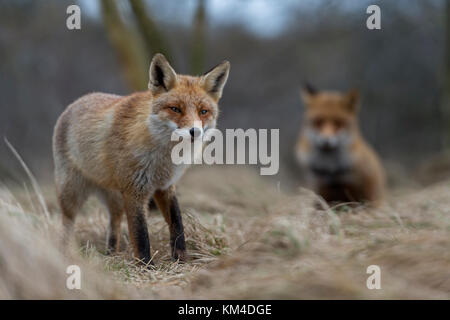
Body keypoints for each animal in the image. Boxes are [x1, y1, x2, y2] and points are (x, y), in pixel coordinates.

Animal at [51, 53, 232, 264]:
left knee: (114, 221)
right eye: (175, 109)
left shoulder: (165, 186)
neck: (162, 159)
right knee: (67, 222)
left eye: (203, 111)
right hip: (71, 192)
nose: (195, 132)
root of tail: (78, 100)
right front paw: (146, 265)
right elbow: (140, 233)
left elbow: (177, 224)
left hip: (115, 196)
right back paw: (64, 254)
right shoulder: (134, 189)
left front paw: (181, 259)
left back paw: (111, 253)